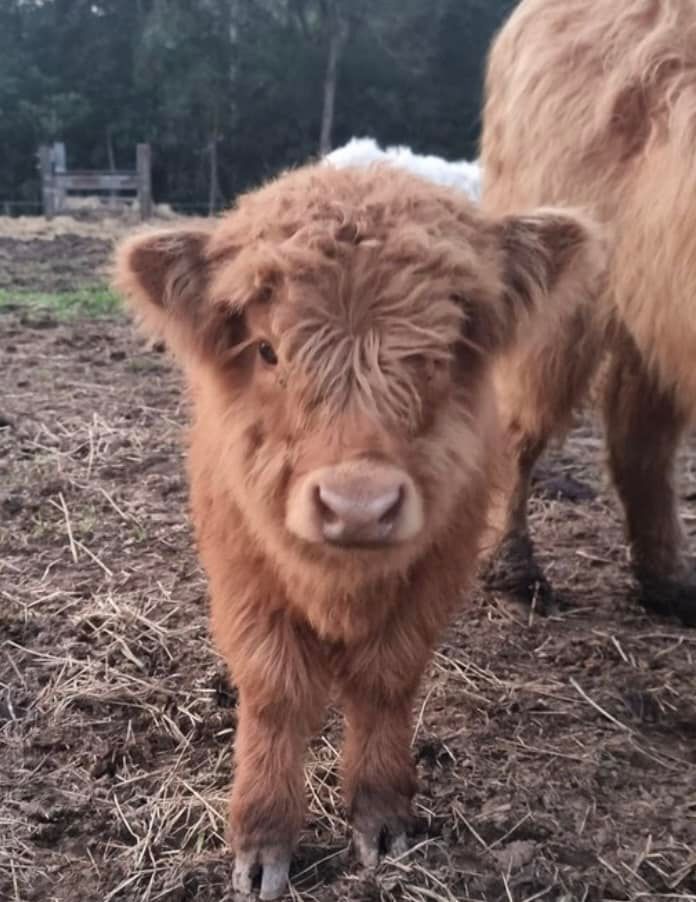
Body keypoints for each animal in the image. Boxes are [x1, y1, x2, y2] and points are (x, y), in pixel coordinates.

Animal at [114, 163, 603, 898]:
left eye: (439, 352)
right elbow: (275, 693)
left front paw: (381, 819)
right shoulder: (242, 571)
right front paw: (262, 845)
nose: (358, 507)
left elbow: (385, 680)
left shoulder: (436, 571)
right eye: (268, 350)